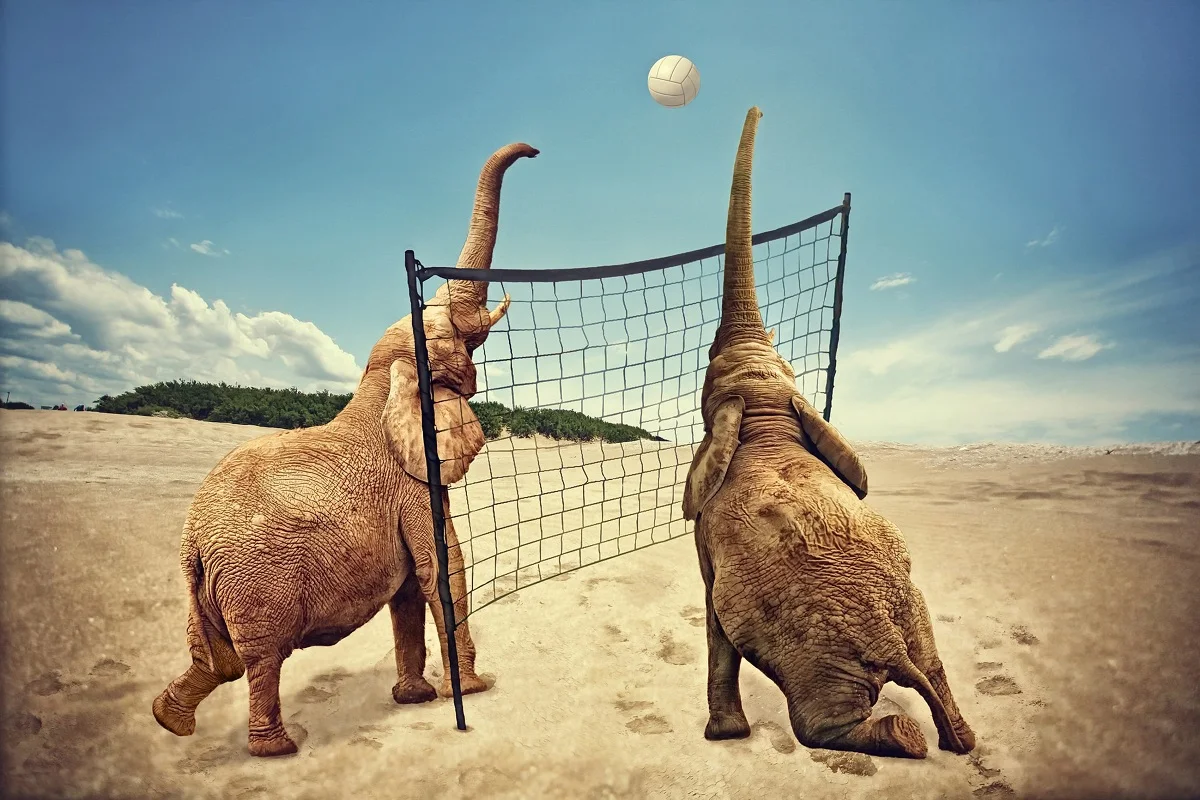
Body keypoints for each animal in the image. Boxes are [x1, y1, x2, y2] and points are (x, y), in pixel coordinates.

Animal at [151, 141, 539, 757]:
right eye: (456, 337)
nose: (534, 150)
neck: (381, 384)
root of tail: (193, 543)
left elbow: (409, 591)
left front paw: (415, 700)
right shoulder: (414, 486)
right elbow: (439, 570)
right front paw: (475, 690)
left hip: (213, 587)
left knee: (217, 660)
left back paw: (169, 721)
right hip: (257, 581)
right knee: (260, 658)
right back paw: (277, 749)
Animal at [681, 107, 976, 759]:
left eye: (709, 370)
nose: (762, 107)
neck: (766, 417)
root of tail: (887, 642)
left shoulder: (707, 533)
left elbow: (714, 618)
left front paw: (723, 735)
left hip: (820, 660)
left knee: (819, 724)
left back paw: (907, 738)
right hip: (908, 617)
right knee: (935, 667)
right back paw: (960, 740)